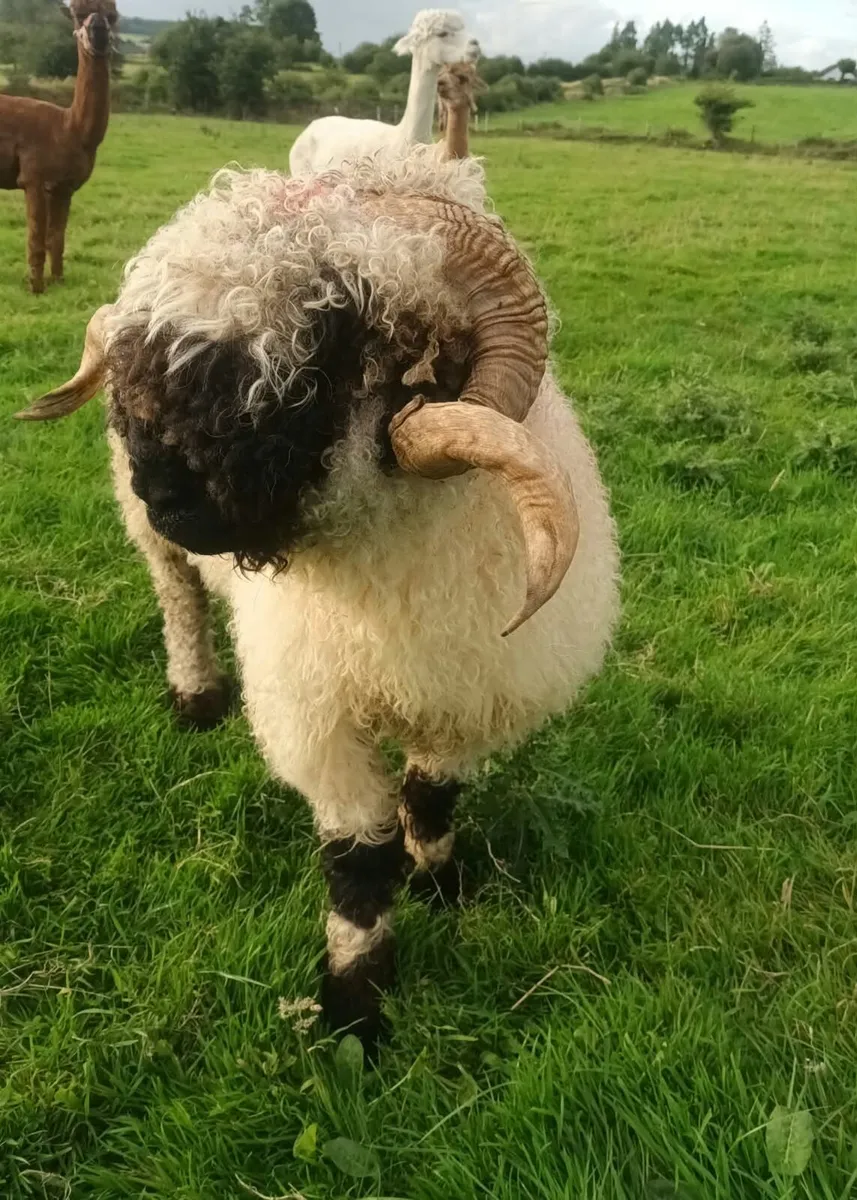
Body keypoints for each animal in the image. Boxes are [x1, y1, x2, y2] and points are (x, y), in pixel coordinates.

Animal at [20, 150, 620, 1050]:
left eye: (337, 335)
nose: (163, 489)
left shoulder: (472, 696)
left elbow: (430, 800)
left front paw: (439, 883)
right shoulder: (316, 716)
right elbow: (357, 859)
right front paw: (354, 1011)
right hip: (158, 554)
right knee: (180, 602)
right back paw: (195, 695)